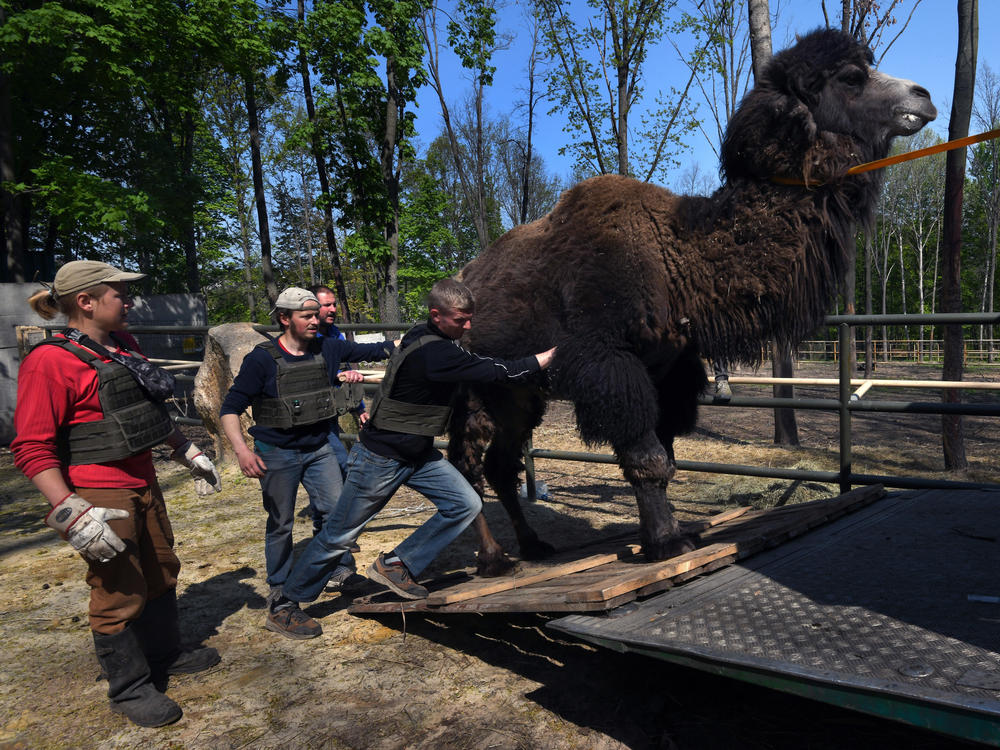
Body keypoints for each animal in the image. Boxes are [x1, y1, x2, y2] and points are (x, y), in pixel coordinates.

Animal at [448, 26, 936, 572]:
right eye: (851, 77)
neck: (677, 256)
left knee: (499, 463)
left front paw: (663, 536)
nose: (923, 96)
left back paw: (533, 546)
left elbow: (667, 457)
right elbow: (647, 460)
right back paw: (493, 559)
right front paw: (668, 545)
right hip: (473, 388)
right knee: (466, 464)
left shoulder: (671, 372)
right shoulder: (610, 364)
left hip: (518, 394)